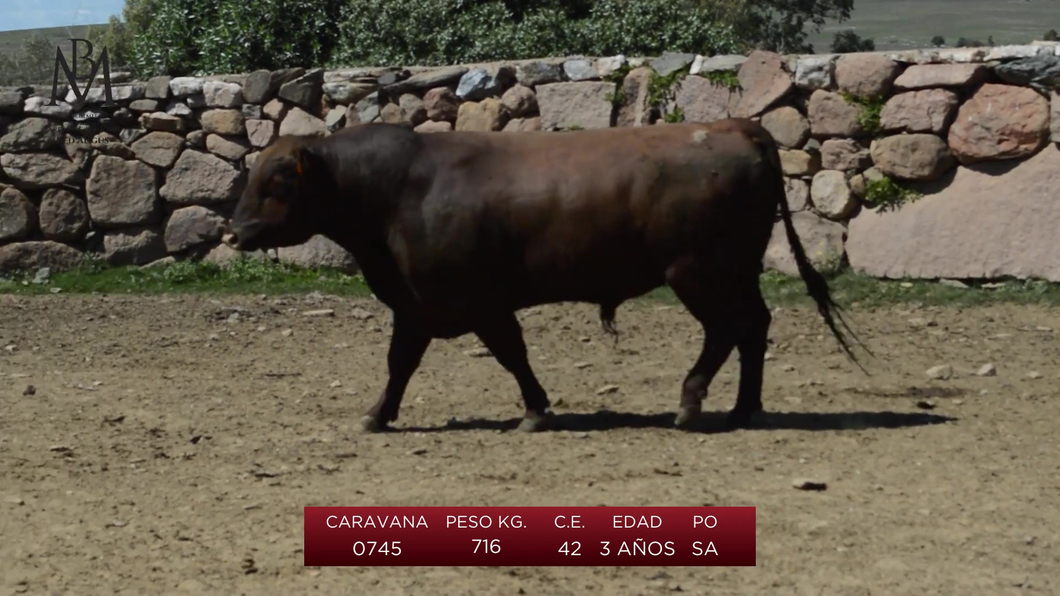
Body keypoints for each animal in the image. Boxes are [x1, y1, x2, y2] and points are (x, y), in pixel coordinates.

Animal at [221, 118, 860, 430]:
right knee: (754, 328)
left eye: (277, 181)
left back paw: (691, 402)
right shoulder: (416, 306)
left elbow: (512, 354)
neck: (397, 191)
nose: (232, 232)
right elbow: (400, 363)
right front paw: (378, 414)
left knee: (728, 330)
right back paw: (744, 408)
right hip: (735, 272)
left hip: (699, 272)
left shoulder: (481, 303)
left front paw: (533, 410)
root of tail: (736, 127)